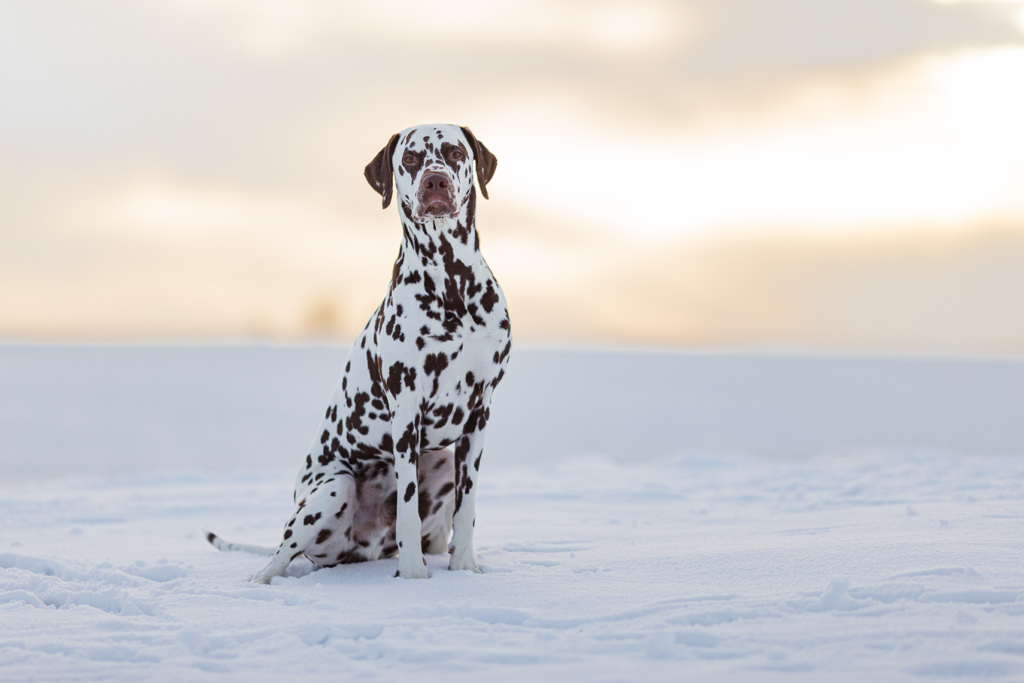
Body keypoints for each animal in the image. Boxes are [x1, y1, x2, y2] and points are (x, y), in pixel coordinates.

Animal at [207, 122, 512, 581]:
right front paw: (414, 577)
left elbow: (467, 507)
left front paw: (464, 568)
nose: (435, 181)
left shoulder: (479, 414)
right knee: (278, 556)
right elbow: (407, 505)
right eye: (410, 158)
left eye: (456, 153)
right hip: (332, 489)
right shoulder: (407, 411)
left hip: (440, 462)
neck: (451, 285)